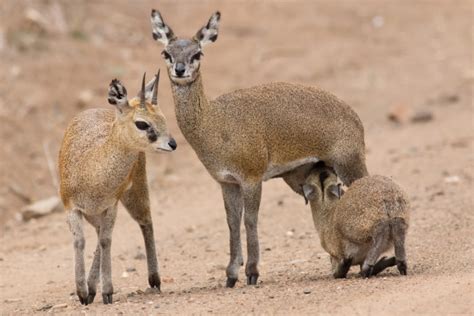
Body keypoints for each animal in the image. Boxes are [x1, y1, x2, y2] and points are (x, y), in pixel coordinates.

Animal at [58, 69, 177, 304]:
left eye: (162, 118)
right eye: (142, 123)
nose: (172, 144)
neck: (92, 169)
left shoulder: (110, 206)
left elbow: (106, 241)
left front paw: (107, 291)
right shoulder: (72, 208)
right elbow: (80, 241)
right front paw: (82, 292)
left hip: (135, 190)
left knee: (145, 221)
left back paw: (154, 280)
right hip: (96, 213)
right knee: (98, 235)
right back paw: (91, 288)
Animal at [150, 9, 368, 286]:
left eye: (197, 53)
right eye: (166, 53)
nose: (180, 70)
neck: (215, 123)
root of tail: (355, 117)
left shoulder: (252, 178)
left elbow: (250, 220)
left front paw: (252, 272)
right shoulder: (227, 182)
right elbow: (232, 222)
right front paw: (231, 275)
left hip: (350, 163)